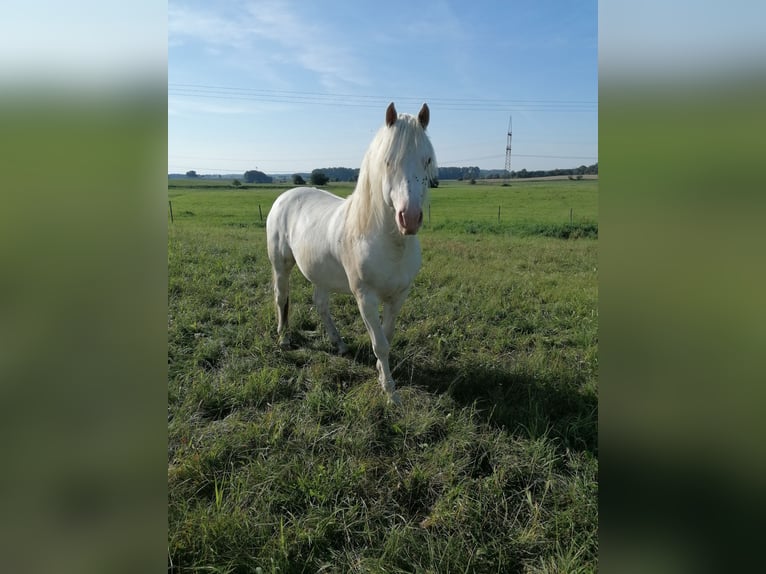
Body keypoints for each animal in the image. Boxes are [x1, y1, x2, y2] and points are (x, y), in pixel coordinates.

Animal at [268, 102, 438, 404]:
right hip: (281, 265)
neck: (388, 242)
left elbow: (387, 336)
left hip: (321, 275)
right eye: (388, 161)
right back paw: (284, 338)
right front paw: (390, 392)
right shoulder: (365, 298)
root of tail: (285, 196)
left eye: (427, 160)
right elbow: (380, 343)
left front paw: (381, 373)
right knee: (282, 298)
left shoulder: (398, 296)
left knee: (321, 305)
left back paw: (340, 344)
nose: (409, 218)